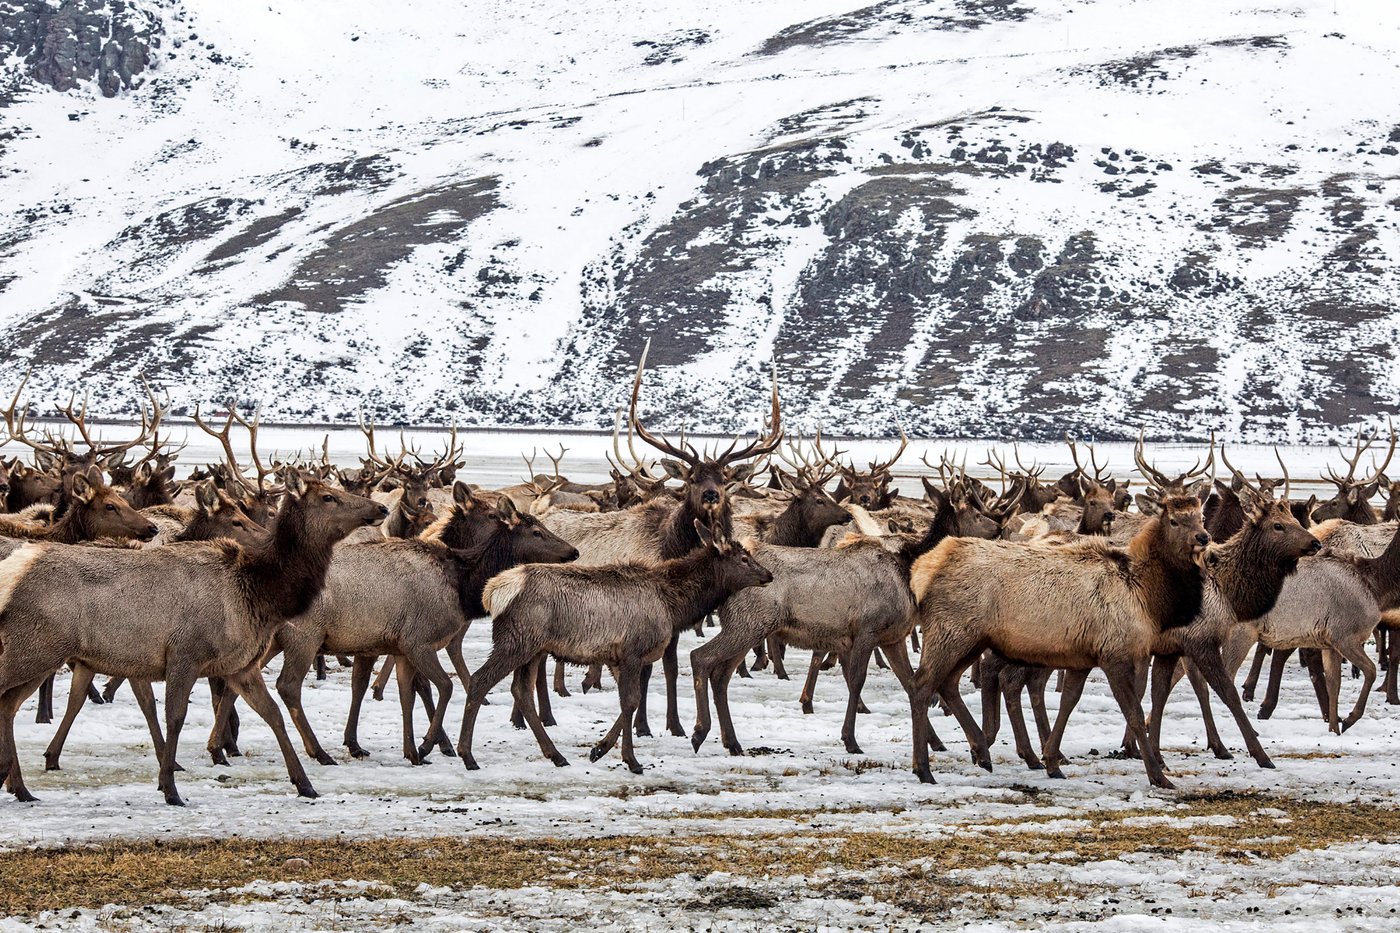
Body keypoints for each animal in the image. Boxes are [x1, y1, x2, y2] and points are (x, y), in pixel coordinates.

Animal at [0, 471, 387, 805]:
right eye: (329, 497)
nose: (380, 509)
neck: (258, 594)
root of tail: (13, 573)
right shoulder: (184, 654)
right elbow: (174, 716)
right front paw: (170, 788)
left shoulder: (239, 665)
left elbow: (272, 713)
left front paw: (305, 784)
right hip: (35, 648)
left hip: (40, 654)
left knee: (8, 705)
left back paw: (20, 787)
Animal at [459, 519, 772, 774]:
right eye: (744, 558)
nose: (768, 575)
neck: (674, 606)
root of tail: (493, 592)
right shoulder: (633, 651)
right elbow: (631, 702)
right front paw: (631, 761)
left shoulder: (616, 657)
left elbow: (628, 705)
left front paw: (598, 749)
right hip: (516, 641)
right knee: (480, 680)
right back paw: (467, 755)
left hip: (534, 649)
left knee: (521, 691)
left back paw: (556, 755)